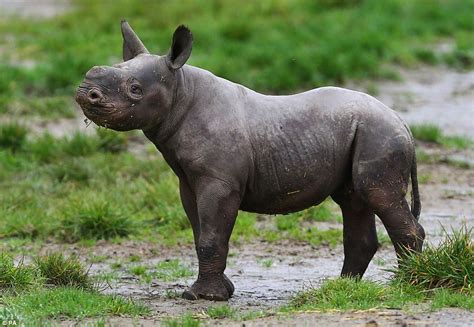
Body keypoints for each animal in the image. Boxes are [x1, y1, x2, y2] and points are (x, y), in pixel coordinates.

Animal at [77, 20, 426, 302]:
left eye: (135, 89)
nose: (85, 91)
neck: (180, 89)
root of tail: (403, 122)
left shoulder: (219, 181)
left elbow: (211, 236)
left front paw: (205, 297)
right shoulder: (188, 181)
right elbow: (200, 231)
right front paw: (215, 291)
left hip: (379, 134)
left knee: (377, 194)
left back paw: (407, 286)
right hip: (366, 132)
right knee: (354, 200)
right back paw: (342, 289)